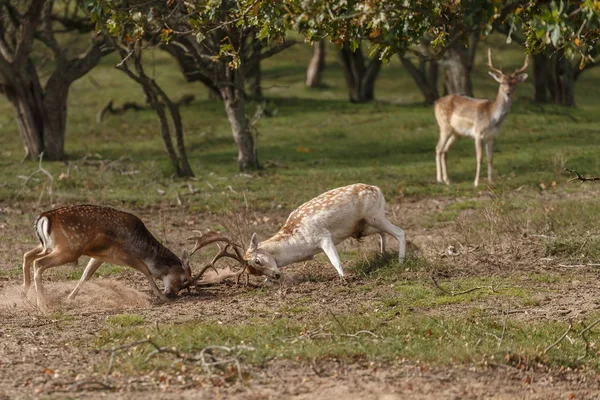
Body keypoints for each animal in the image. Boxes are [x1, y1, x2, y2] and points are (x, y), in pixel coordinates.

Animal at [22, 205, 192, 308]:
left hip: (49, 247)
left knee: (27, 255)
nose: (173, 293)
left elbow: (86, 275)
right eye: (185, 279)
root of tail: (44, 217)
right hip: (68, 250)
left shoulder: (100, 255)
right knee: (38, 263)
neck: (141, 247)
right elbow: (145, 270)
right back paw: (41, 303)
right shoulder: (122, 253)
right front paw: (161, 297)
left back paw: (27, 296)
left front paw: (70, 298)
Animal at [191, 183, 408, 280]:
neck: (300, 243)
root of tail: (378, 189)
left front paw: (344, 277)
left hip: (375, 216)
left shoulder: (323, 236)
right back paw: (383, 254)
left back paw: (401, 261)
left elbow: (335, 260)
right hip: (364, 226)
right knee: (384, 234)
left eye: (258, 261)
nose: (276, 275)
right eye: (255, 271)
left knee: (400, 232)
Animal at [434, 49, 528, 187]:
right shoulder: (477, 133)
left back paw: (447, 180)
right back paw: (440, 179)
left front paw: (491, 181)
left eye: (514, 83)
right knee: (438, 148)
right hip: (444, 126)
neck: (492, 117)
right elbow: (480, 158)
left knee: (444, 150)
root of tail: (436, 102)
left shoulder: (492, 136)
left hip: (457, 133)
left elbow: (490, 158)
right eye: (502, 82)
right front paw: (476, 182)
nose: (508, 92)